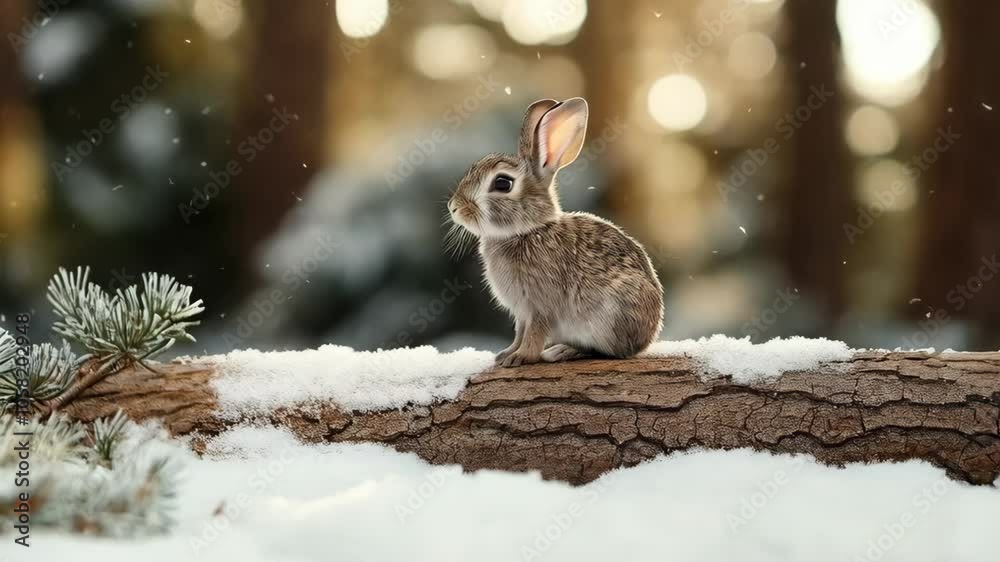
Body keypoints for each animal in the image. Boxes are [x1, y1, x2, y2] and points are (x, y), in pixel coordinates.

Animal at [447, 97, 664, 367]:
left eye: (502, 183)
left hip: (610, 316)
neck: (526, 231)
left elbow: (534, 333)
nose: (454, 208)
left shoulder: (540, 305)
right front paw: (506, 354)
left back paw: (561, 351)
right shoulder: (521, 312)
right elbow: (520, 333)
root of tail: (648, 336)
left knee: (608, 351)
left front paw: (519, 358)